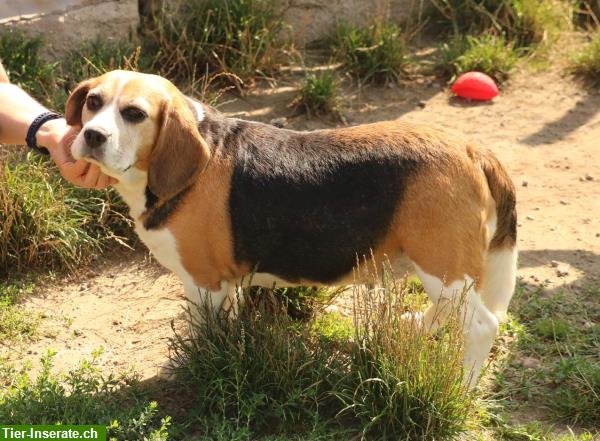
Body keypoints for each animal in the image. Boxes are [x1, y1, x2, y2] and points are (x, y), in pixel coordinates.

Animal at [64, 69, 516, 384]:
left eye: (134, 114)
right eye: (93, 101)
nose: (92, 135)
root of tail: (471, 149)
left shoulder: (205, 281)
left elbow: (201, 331)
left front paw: (193, 364)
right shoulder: (225, 284)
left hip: (443, 266)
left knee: (481, 325)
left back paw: (461, 387)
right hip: (438, 268)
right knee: (446, 312)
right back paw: (416, 327)